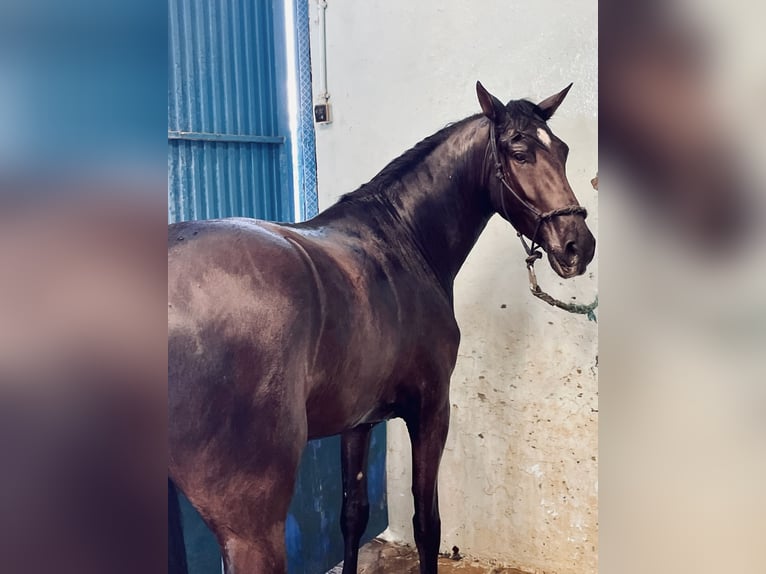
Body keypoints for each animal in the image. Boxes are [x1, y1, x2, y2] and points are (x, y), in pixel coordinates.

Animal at [168, 81, 596, 574]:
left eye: (562, 150)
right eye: (520, 152)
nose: (578, 246)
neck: (401, 240)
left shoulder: (359, 421)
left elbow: (353, 515)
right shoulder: (431, 411)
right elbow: (427, 523)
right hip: (251, 523)